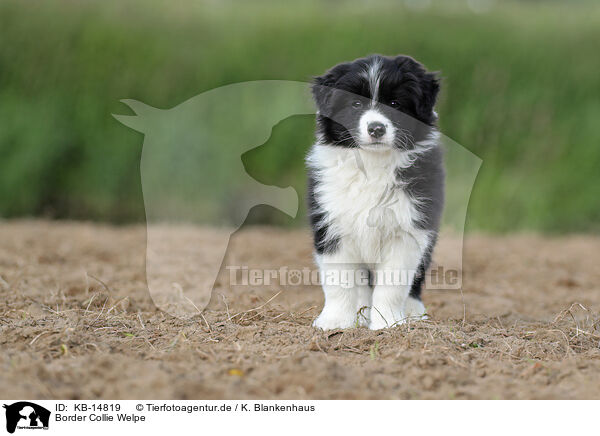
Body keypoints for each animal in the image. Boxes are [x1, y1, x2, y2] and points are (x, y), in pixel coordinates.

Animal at [308, 54, 442, 328]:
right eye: (356, 104)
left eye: (394, 103)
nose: (376, 128)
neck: (372, 164)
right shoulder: (332, 225)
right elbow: (339, 280)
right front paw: (335, 321)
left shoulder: (408, 230)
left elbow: (393, 283)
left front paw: (388, 323)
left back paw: (413, 312)